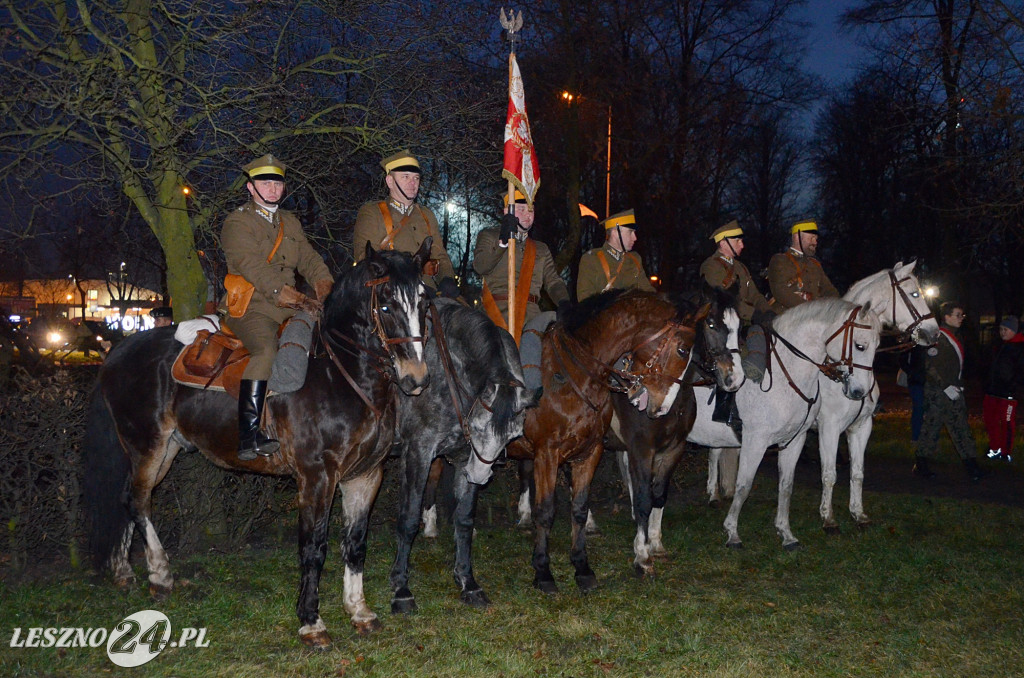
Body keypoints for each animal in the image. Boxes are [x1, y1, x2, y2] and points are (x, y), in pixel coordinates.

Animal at [81, 241, 430, 651]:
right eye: (387, 305)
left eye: (423, 303)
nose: (416, 379)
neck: (341, 374)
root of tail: (119, 350)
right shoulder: (316, 477)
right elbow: (314, 548)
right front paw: (311, 622)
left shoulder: (365, 475)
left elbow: (355, 544)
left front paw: (359, 611)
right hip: (147, 444)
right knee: (137, 501)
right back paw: (161, 575)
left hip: (165, 449)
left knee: (129, 499)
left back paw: (124, 571)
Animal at [387, 297, 536, 614]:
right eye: (478, 427)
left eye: (513, 436)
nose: (479, 476)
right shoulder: (417, 452)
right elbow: (408, 519)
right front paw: (401, 588)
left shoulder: (466, 456)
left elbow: (465, 520)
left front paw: (468, 581)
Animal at [684, 299, 884, 553]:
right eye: (860, 346)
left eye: (877, 346)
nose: (860, 392)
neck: (784, 377)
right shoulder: (758, 441)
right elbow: (744, 486)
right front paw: (732, 533)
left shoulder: (796, 440)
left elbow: (787, 485)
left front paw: (786, 534)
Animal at [712, 262, 937, 532]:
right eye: (915, 294)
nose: (934, 333)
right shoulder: (829, 427)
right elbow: (829, 474)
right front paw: (828, 518)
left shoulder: (861, 426)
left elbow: (857, 472)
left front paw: (858, 513)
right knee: (715, 451)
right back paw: (713, 494)